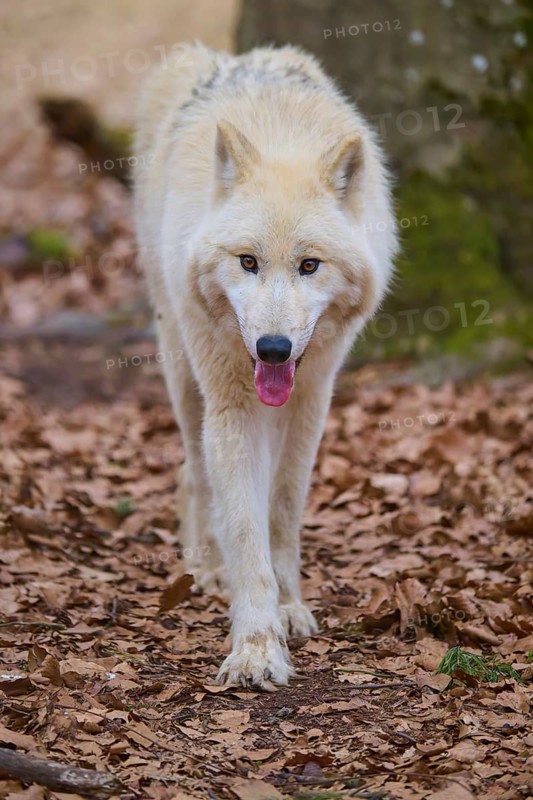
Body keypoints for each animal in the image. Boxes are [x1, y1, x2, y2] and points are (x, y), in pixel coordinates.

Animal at [134, 42, 398, 689]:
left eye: (309, 265)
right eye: (248, 262)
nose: (274, 348)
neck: (283, 135)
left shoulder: (312, 399)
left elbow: (280, 510)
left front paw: (289, 607)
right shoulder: (231, 405)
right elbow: (244, 524)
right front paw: (256, 645)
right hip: (184, 375)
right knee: (193, 473)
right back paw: (203, 569)